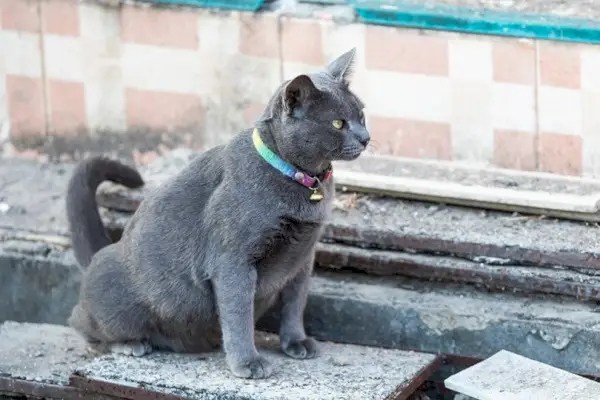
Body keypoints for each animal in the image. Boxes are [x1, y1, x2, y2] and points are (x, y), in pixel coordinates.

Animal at [64, 47, 366, 378]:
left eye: (362, 115)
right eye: (338, 123)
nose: (365, 137)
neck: (304, 180)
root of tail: (98, 254)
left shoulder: (302, 258)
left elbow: (295, 304)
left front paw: (296, 343)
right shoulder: (232, 260)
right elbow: (238, 315)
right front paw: (248, 362)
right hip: (118, 301)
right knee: (80, 321)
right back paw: (130, 344)